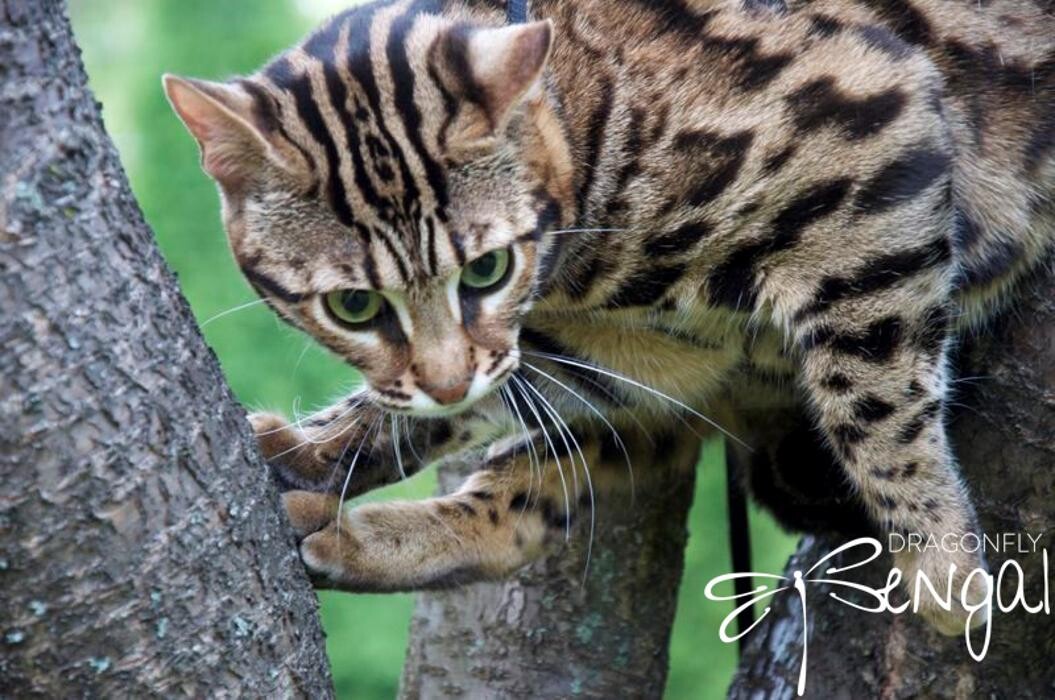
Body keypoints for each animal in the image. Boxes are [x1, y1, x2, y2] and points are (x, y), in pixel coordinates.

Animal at [164, 0, 1055, 632]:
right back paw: (353, 537)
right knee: (522, 507)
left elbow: (873, 402)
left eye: (485, 268)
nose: (447, 381)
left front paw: (943, 566)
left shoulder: (867, 137)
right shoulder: (592, 357)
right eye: (353, 304)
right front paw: (319, 448)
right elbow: (433, 411)